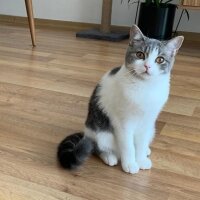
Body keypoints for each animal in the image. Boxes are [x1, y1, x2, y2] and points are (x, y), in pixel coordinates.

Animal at [57, 24, 184, 173]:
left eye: (160, 59)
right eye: (140, 54)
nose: (147, 66)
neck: (145, 87)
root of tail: (86, 133)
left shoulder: (147, 121)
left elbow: (140, 144)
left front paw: (141, 159)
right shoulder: (123, 123)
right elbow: (128, 146)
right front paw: (130, 164)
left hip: (152, 129)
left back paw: (146, 150)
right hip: (101, 134)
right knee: (96, 147)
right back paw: (109, 157)